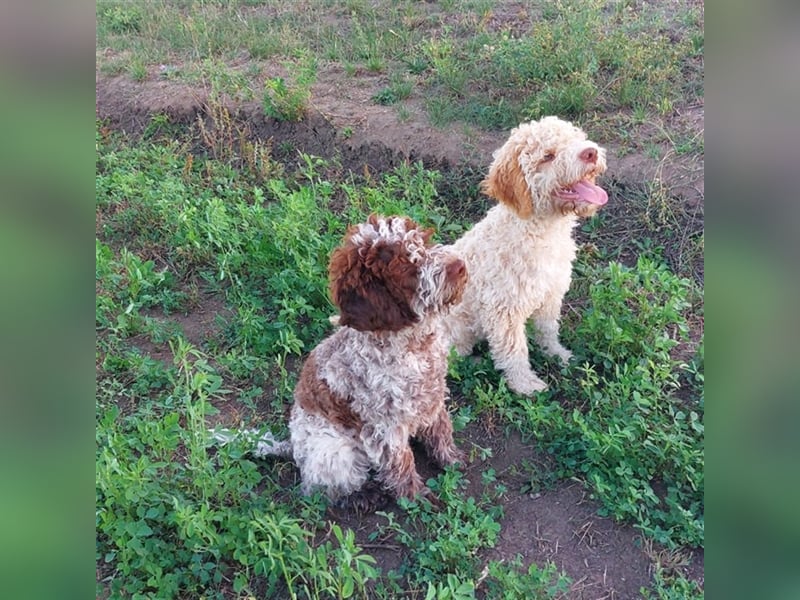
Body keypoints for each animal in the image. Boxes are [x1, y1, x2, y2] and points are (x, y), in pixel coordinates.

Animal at [216, 213, 472, 508]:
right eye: (407, 268)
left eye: (423, 243)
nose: (460, 266)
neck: (411, 345)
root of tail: (291, 447)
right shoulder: (385, 428)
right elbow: (401, 464)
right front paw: (417, 499)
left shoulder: (432, 396)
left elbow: (441, 430)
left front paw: (451, 459)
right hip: (335, 452)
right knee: (322, 488)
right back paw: (365, 496)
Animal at [444, 117, 608, 398]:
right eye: (548, 156)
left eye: (577, 138)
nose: (590, 152)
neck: (540, 232)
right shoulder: (503, 309)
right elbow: (514, 350)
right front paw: (525, 385)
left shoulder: (551, 293)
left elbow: (548, 329)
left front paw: (558, 354)